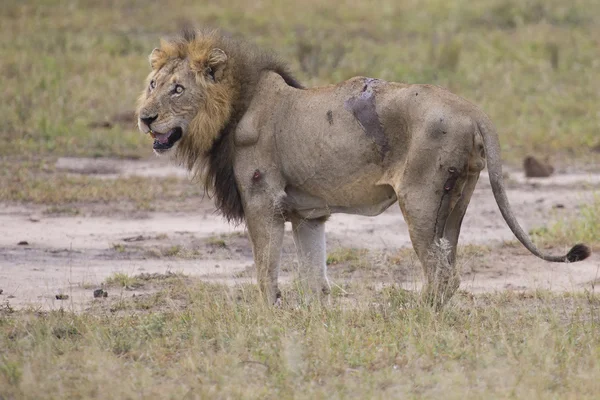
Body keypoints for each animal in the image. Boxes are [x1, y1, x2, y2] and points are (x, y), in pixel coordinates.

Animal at [136, 28, 592, 306]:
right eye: (153, 85)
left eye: (178, 89)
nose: (144, 117)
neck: (232, 109)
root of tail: (471, 108)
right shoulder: (307, 215)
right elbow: (314, 278)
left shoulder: (264, 202)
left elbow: (266, 272)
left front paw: (267, 318)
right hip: (458, 197)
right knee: (449, 266)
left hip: (420, 199)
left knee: (441, 273)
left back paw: (417, 316)